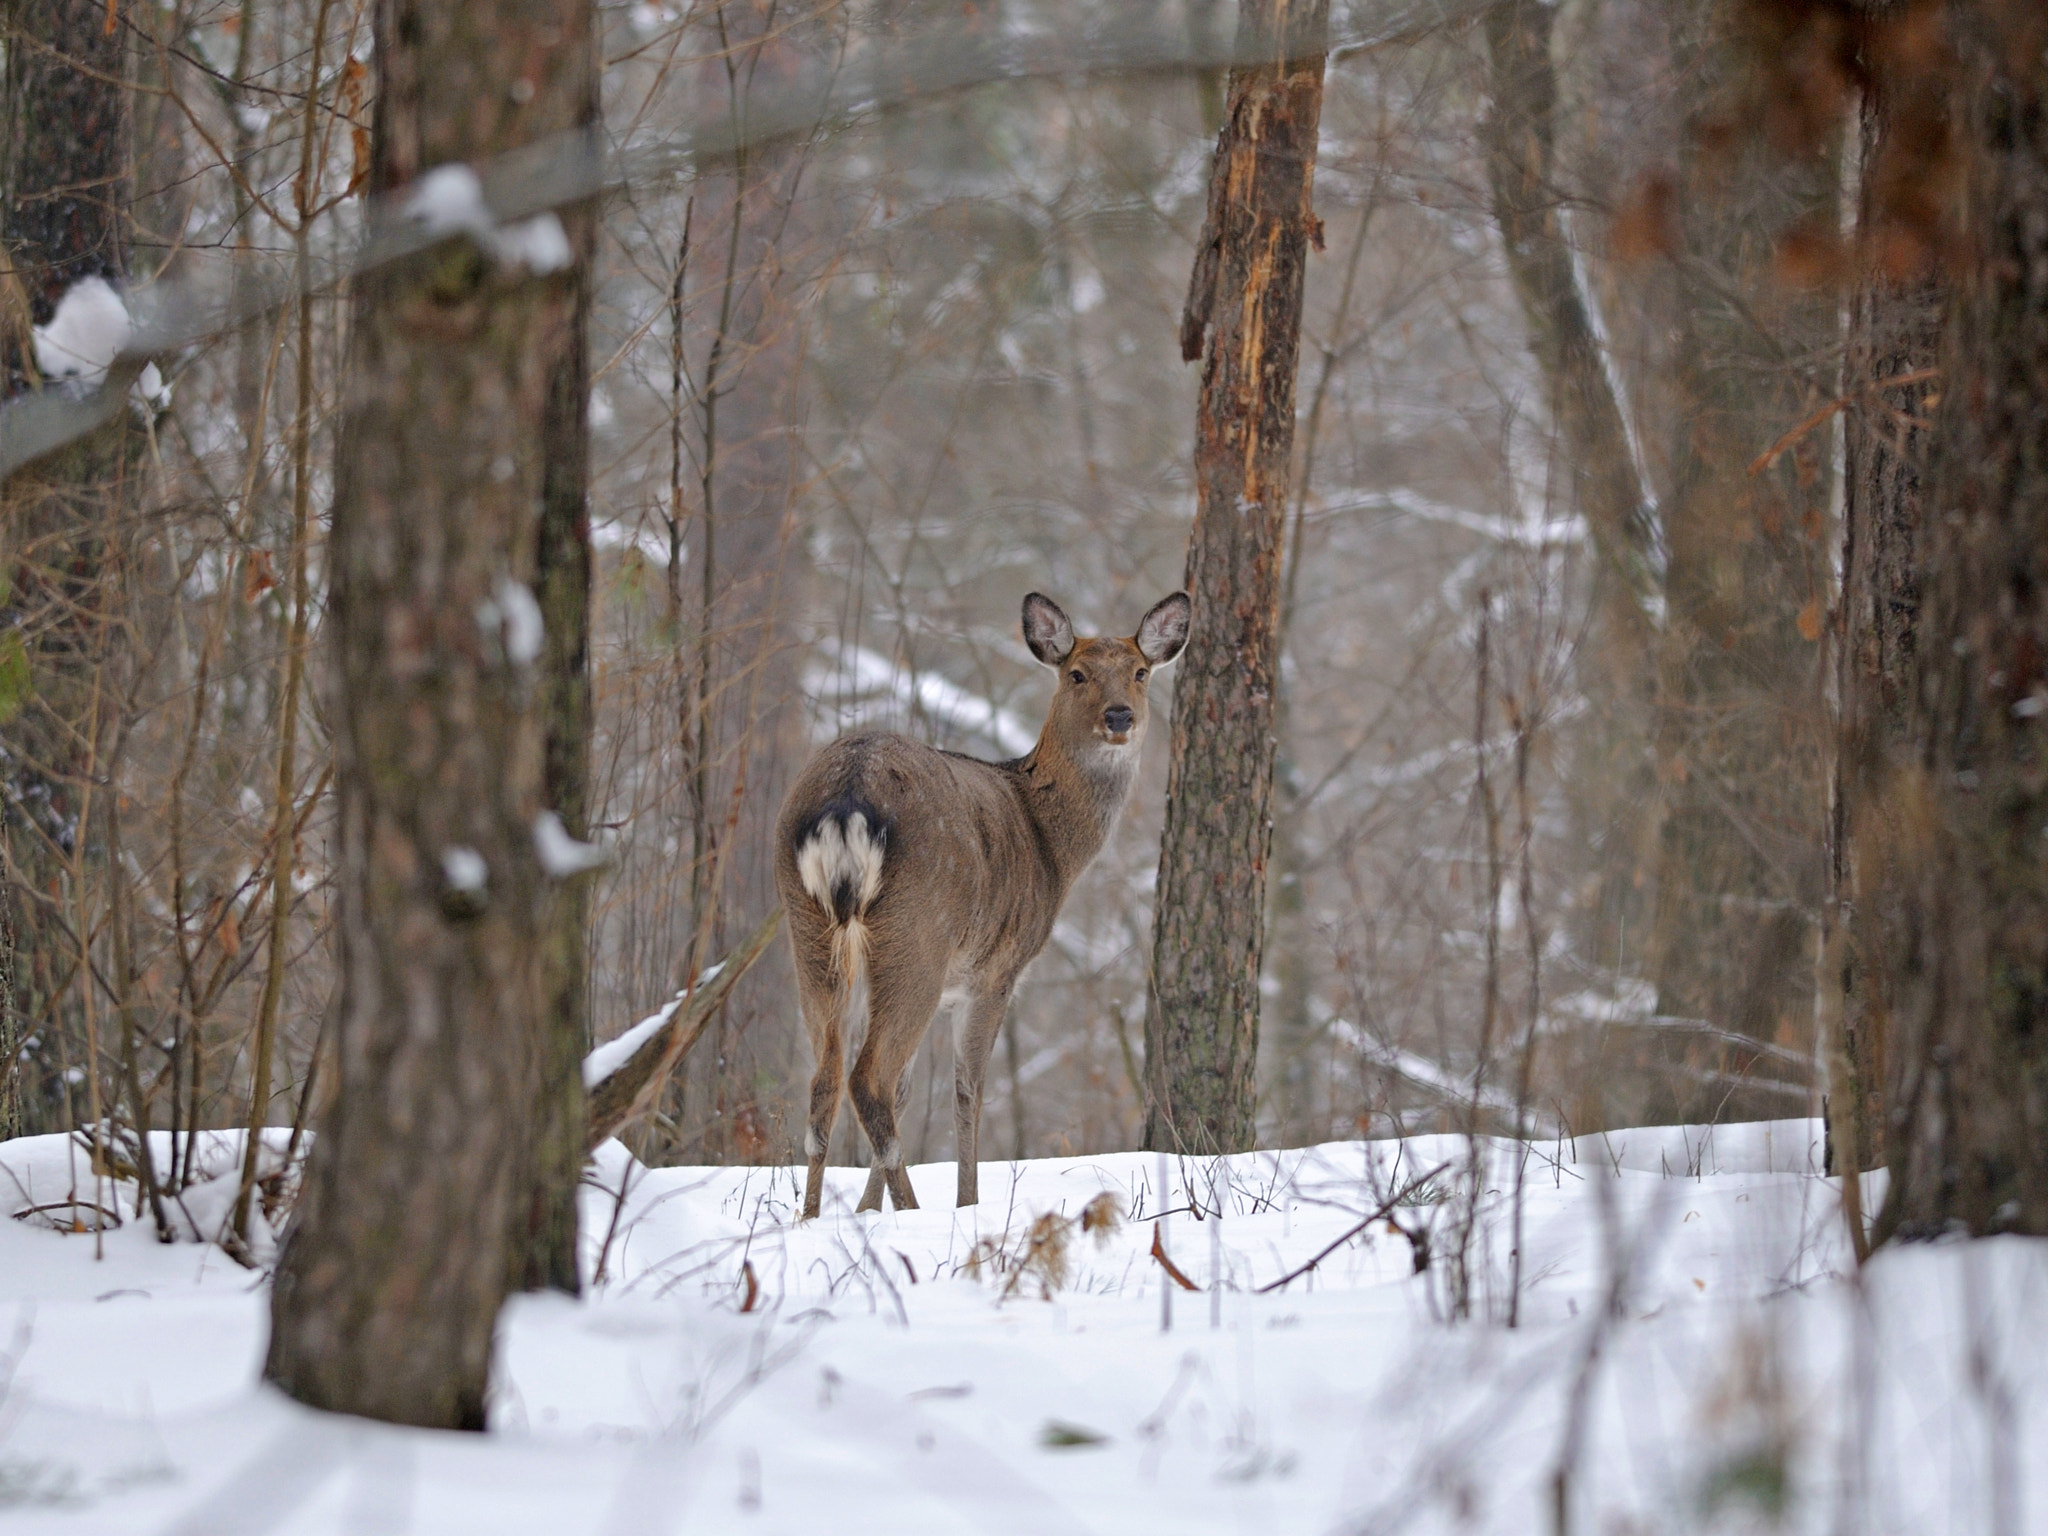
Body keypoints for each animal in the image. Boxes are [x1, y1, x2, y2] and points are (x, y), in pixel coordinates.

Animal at [770, 593, 1196, 1228]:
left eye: (1141, 672)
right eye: (1077, 674)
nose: (1120, 716)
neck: (1051, 847)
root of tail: (846, 800)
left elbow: (909, 1090)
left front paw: (868, 1211)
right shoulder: (996, 972)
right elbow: (967, 1088)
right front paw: (966, 1203)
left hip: (809, 927)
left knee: (828, 1079)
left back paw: (811, 1218)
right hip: (918, 930)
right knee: (867, 1077)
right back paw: (914, 1211)